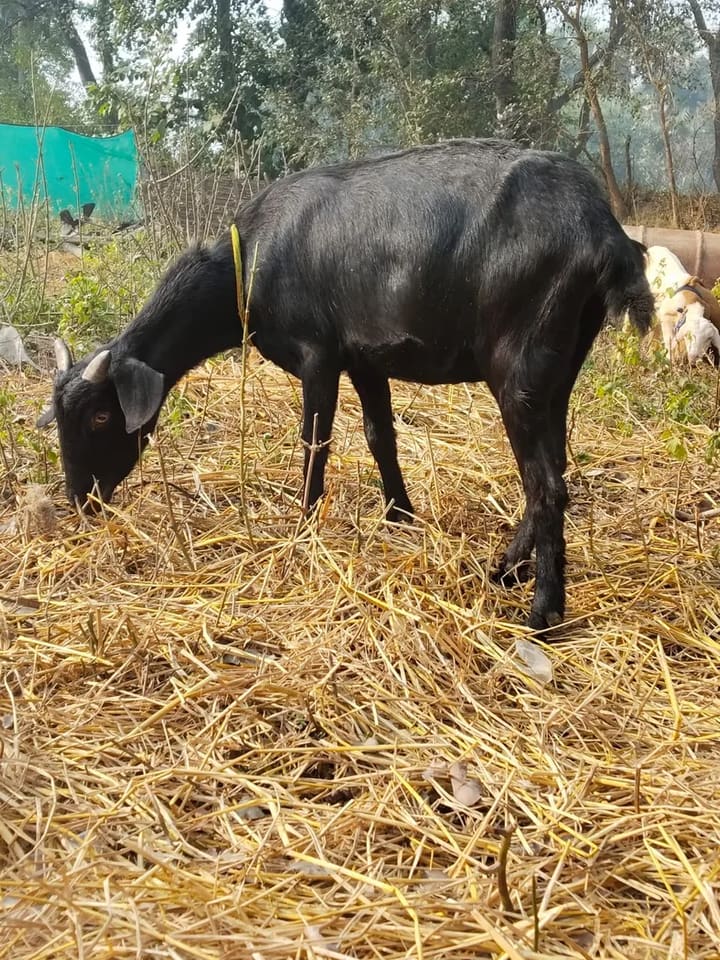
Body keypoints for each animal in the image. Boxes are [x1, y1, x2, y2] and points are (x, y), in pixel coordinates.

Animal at [38, 139, 653, 632]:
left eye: (100, 415)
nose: (81, 501)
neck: (244, 262)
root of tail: (603, 231)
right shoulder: (366, 358)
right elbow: (381, 436)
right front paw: (400, 516)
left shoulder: (319, 353)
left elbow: (316, 440)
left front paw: (303, 525)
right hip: (561, 363)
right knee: (551, 467)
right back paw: (505, 568)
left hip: (518, 362)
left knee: (546, 485)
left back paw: (543, 611)